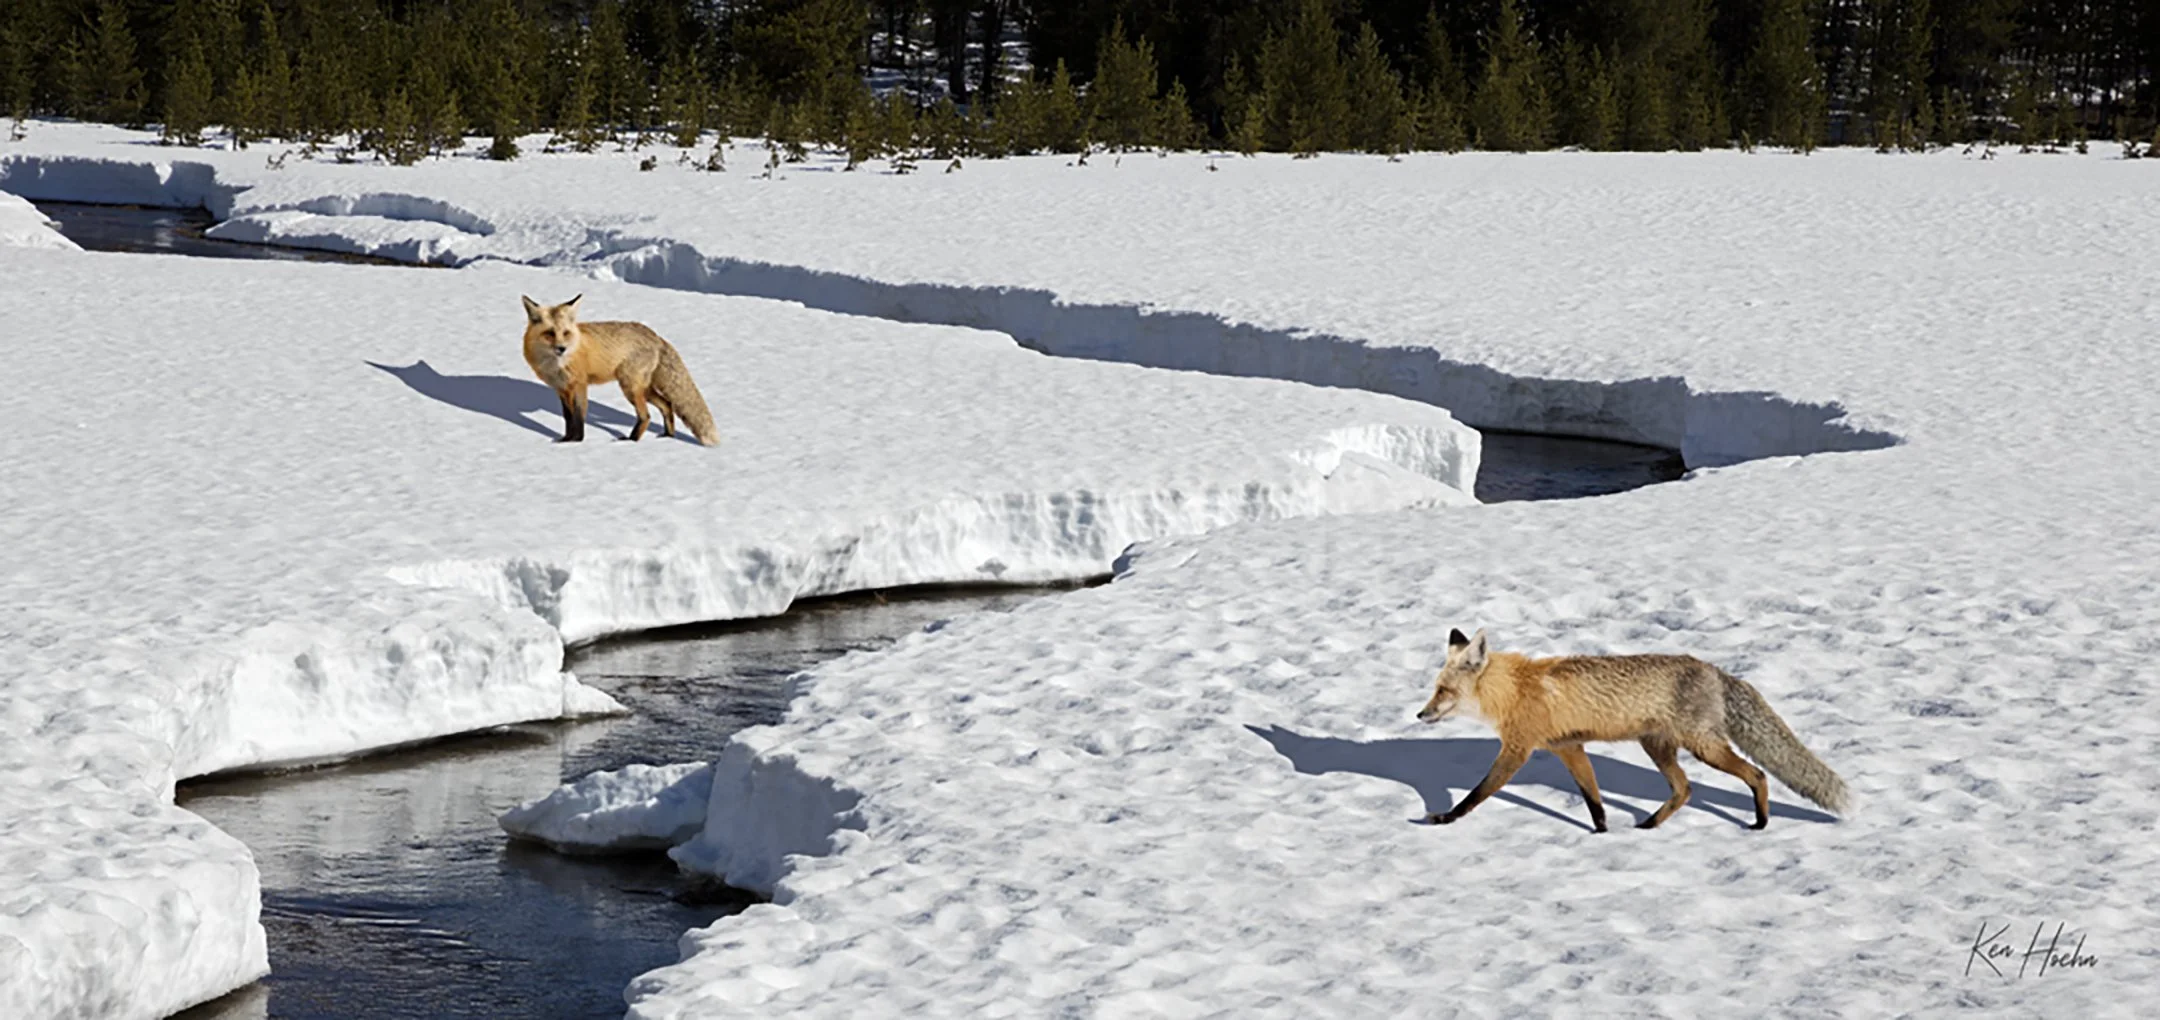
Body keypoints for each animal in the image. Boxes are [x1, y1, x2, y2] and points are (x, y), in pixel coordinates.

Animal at [520, 294, 718, 446]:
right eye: (549, 333)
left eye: (566, 333)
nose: (561, 348)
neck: (557, 364)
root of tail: (656, 336)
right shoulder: (562, 389)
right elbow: (568, 418)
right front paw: (566, 440)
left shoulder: (579, 385)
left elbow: (578, 416)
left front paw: (576, 442)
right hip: (644, 390)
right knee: (667, 405)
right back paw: (667, 436)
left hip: (630, 388)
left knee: (646, 416)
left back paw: (631, 441)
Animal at [1415, 628, 1849, 832]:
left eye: (1443, 691)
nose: (1420, 714)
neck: (1515, 691)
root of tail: (1715, 670)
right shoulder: (1569, 748)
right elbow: (1593, 800)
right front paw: (1601, 832)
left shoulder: (1517, 751)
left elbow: (1477, 793)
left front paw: (1446, 818)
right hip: (1657, 747)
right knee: (1685, 790)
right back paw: (1651, 824)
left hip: (1702, 747)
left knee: (1756, 774)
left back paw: (1760, 822)